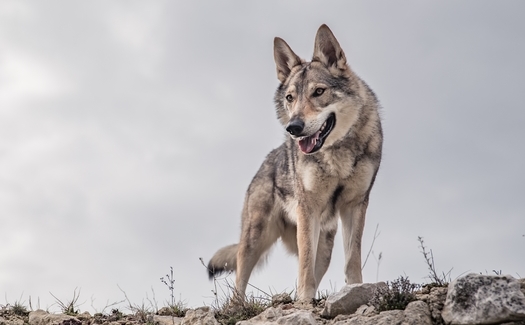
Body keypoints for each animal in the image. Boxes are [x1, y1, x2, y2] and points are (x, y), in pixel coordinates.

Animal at [207, 24, 382, 300]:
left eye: (318, 92)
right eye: (290, 98)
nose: (294, 128)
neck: (337, 155)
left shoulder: (355, 205)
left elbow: (352, 260)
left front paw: (356, 290)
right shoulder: (307, 208)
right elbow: (305, 266)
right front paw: (305, 301)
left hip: (324, 246)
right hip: (254, 239)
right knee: (239, 284)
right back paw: (238, 306)